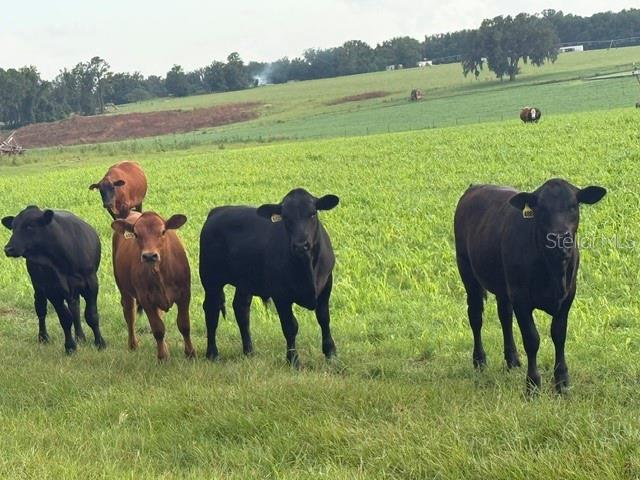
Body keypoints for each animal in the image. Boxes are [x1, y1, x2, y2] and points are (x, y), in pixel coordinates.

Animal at [2, 206, 106, 353]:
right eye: (13, 227)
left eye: (30, 226)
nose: (8, 248)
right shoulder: (52, 289)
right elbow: (65, 318)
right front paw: (70, 346)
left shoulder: (91, 283)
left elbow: (91, 315)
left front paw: (100, 343)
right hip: (38, 287)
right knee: (41, 309)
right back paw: (43, 337)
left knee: (75, 307)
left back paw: (80, 336)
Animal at [111, 211, 194, 360]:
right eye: (136, 234)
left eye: (163, 231)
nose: (149, 256)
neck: (160, 273)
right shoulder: (145, 299)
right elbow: (158, 329)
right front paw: (162, 357)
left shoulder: (185, 294)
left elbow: (184, 325)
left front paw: (190, 353)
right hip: (124, 290)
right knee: (130, 315)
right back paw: (133, 344)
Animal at [199, 188, 339, 367]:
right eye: (286, 217)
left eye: (313, 213)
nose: (301, 245)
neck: (306, 267)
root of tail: (218, 210)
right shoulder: (281, 294)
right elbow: (290, 326)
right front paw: (293, 360)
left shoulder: (326, 284)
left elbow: (324, 319)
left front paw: (331, 354)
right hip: (210, 279)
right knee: (211, 310)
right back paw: (212, 353)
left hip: (245, 282)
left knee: (241, 309)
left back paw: (249, 351)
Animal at [454, 179, 606, 393]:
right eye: (541, 209)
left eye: (573, 206)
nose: (559, 238)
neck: (553, 270)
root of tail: (475, 187)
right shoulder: (521, 298)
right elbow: (532, 339)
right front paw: (533, 384)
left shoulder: (568, 295)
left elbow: (559, 335)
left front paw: (562, 382)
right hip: (466, 269)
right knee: (475, 315)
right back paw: (479, 360)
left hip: (503, 285)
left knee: (504, 316)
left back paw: (512, 359)